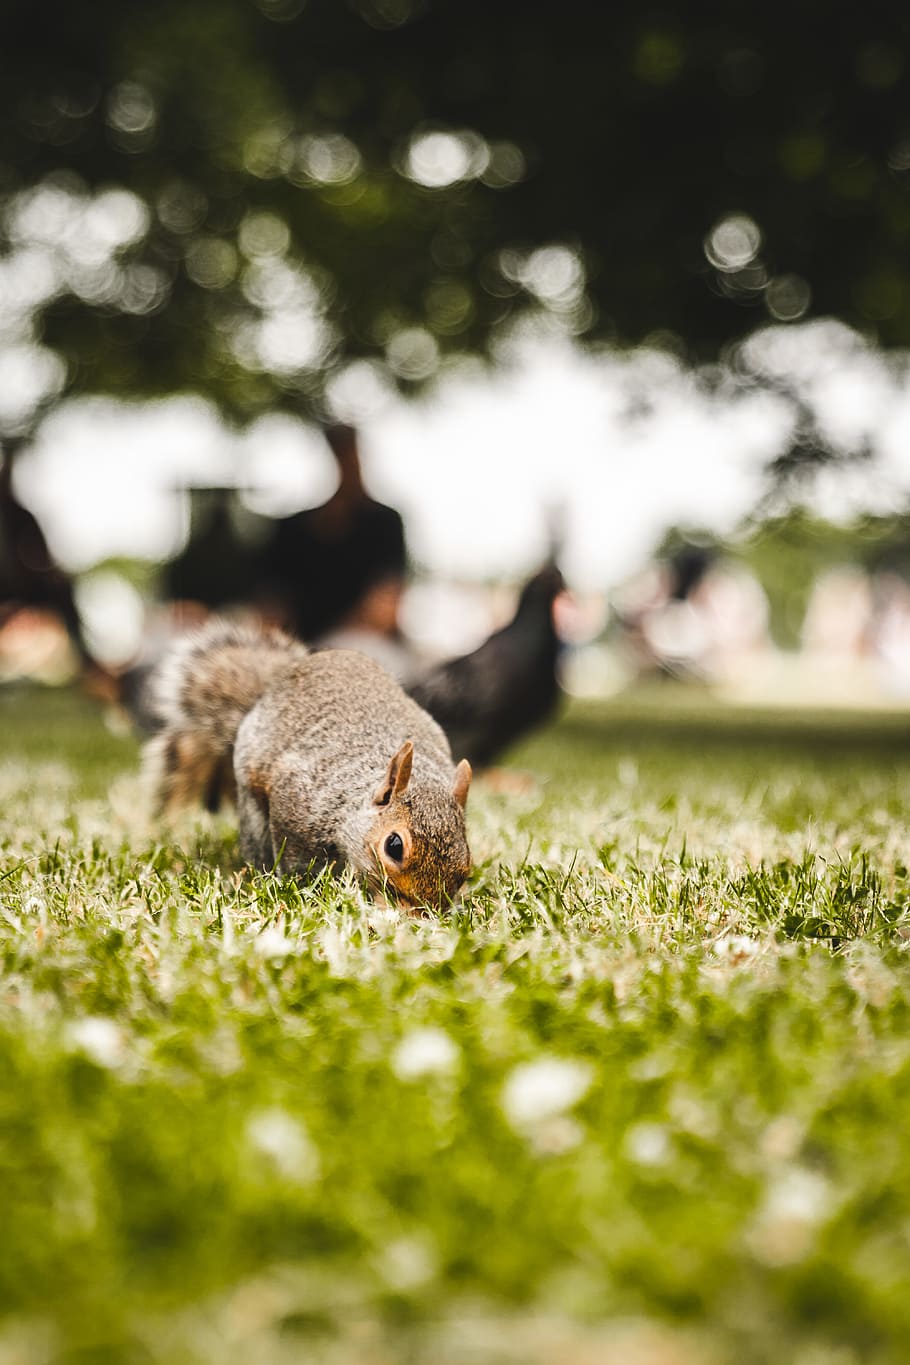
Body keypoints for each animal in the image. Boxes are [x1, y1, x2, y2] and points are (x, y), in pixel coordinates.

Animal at [144, 620, 473, 909]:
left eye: (466, 863)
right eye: (394, 845)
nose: (420, 914)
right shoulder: (298, 797)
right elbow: (296, 857)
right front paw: (304, 886)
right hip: (252, 804)